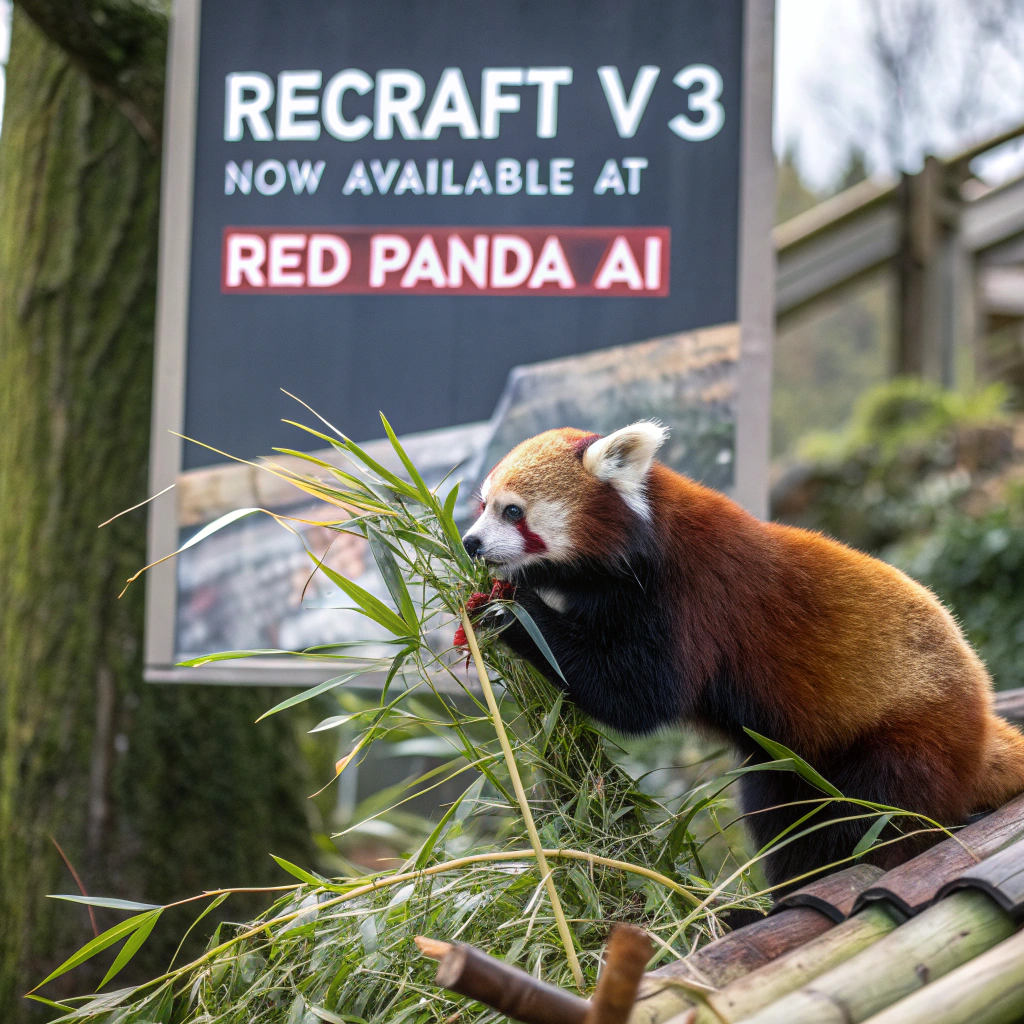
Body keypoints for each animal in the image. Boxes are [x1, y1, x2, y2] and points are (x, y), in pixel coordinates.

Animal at [460, 421, 1024, 890]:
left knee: (870, 821)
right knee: (784, 818)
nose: (469, 543)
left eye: (513, 511)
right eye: (481, 505)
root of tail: (982, 718)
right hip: (788, 764)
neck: (641, 541)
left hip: (905, 740)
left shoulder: (693, 596)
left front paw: (511, 610)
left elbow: (640, 696)